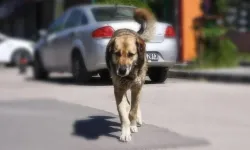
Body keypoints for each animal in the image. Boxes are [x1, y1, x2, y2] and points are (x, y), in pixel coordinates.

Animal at [104, 7, 155, 142]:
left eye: (131, 54)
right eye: (117, 53)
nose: (121, 71)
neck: (129, 76)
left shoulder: (136, 88)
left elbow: (133, 110)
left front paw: (132, 125)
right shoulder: (119, 90)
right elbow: (123, 113)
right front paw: (125, 132)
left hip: (138, 87)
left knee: (136, 105)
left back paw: (137, 119)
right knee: (127, 104)